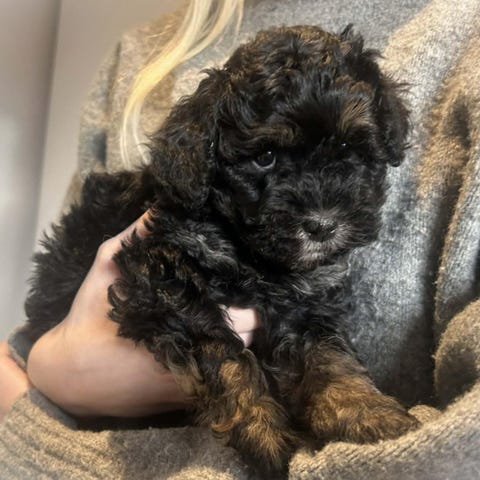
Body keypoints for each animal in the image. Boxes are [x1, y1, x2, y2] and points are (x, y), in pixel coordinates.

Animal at [24, 25, 419, 478]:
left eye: (349, 149)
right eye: (265, 157)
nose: (322, 225)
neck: (253, 255)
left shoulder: (307, 299)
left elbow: (329, 353)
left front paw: (364, 410)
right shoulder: (161, 272)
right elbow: (222, 351)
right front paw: (263, 433)